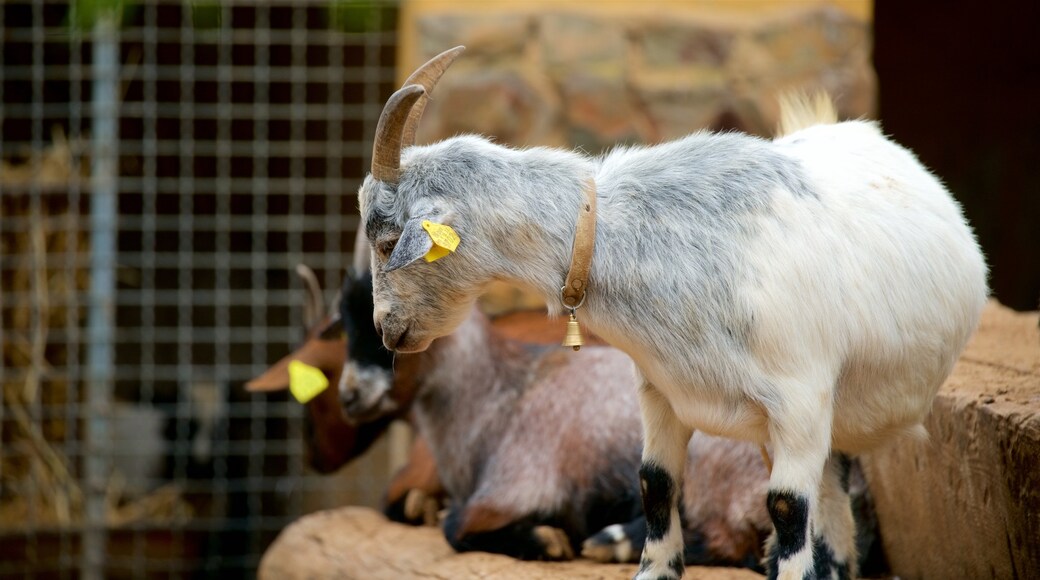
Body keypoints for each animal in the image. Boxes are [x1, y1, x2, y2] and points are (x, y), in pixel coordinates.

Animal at [355, 47, 981, 577]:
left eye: (385, 241)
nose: (388, 330)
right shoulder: (660, 391)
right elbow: (655, 486)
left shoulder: (801, 399)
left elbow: (785, 509)